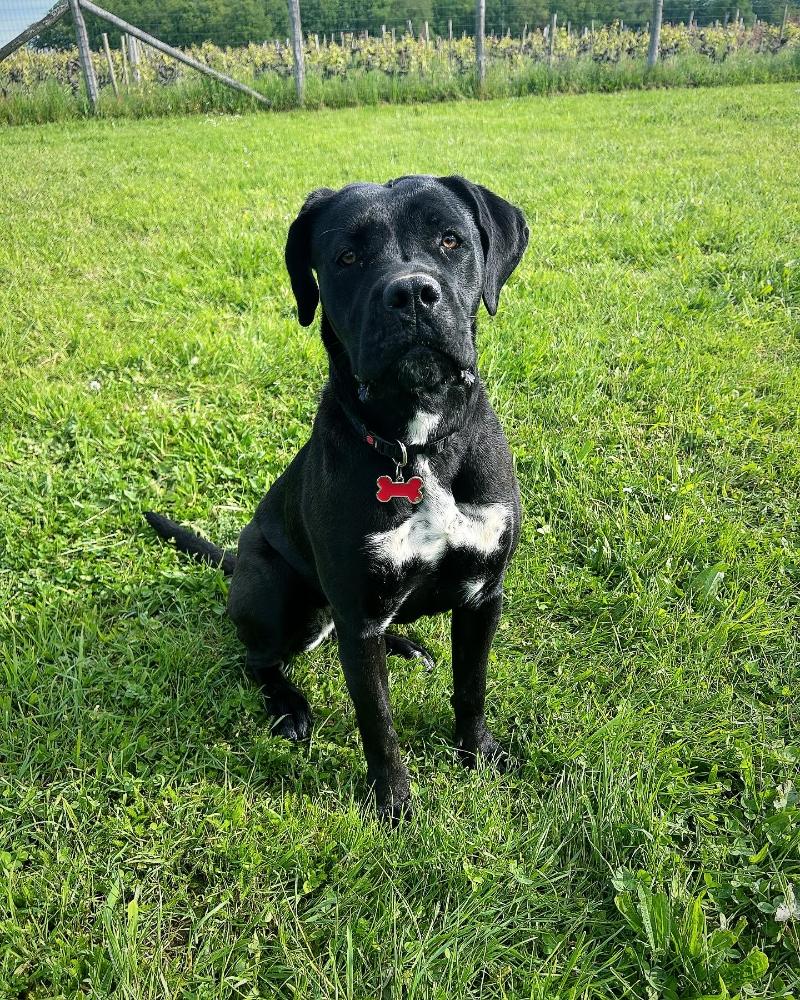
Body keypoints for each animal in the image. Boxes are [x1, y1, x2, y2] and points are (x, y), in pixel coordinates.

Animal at [146, 176, 528, 820]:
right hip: (278, 597)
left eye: (450, 239)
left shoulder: (482, 594)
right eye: (347, 258)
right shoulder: (357, 608)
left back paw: (405, 643)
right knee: (257, 658)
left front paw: (478, 753)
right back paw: (288, 708)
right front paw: (392, 801)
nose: (412, 294)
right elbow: (378, 722)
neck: (415, 444)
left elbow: (471, 687)